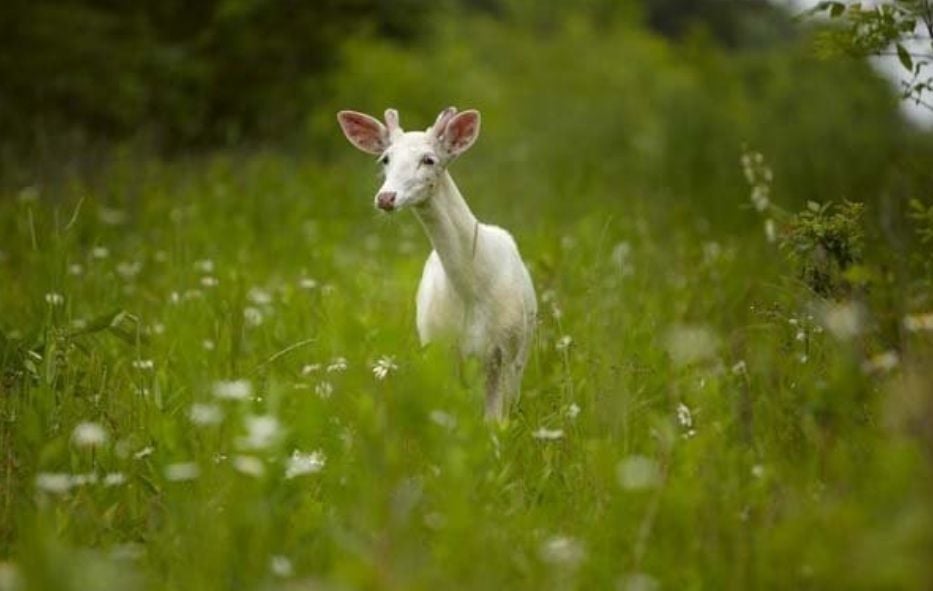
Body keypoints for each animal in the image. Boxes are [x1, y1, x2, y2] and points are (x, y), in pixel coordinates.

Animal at [337, 106, 537, 422]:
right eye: (385, 158)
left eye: (429, 159)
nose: (385, 198)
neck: (471, 293)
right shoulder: (439, 347)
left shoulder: (504, 349)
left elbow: (495, 422)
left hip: (521, 353)